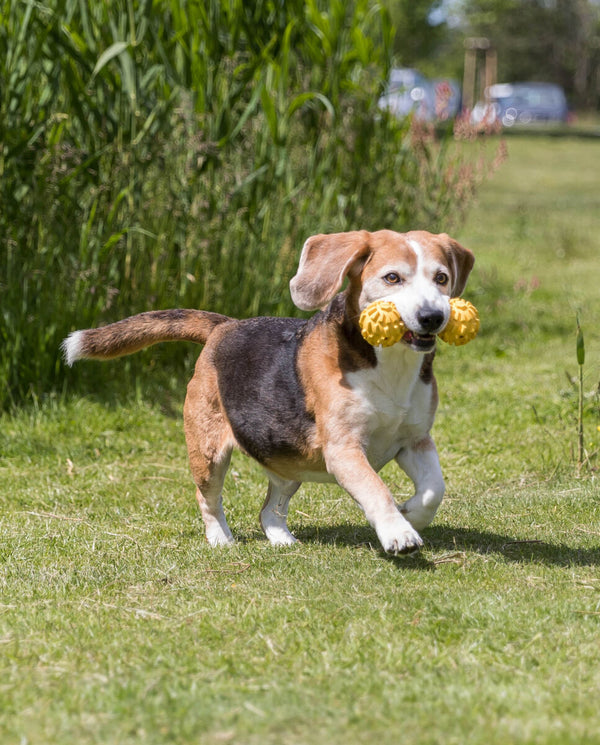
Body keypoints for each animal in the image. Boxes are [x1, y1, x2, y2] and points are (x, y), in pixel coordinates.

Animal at [62, 230, 474, 556]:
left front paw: (410, 514)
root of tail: (224, 327)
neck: (387, 364)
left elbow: (434, 489)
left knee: (269, 508)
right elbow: (377, 490)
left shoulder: (414, 441)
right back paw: (220, 539)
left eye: (441, 278)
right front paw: (398, 532)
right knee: (208, 499)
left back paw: (281, 538)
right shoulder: (344, 450)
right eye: (392, 278)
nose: (433, 317)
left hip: (287, 458)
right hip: (209, 454)